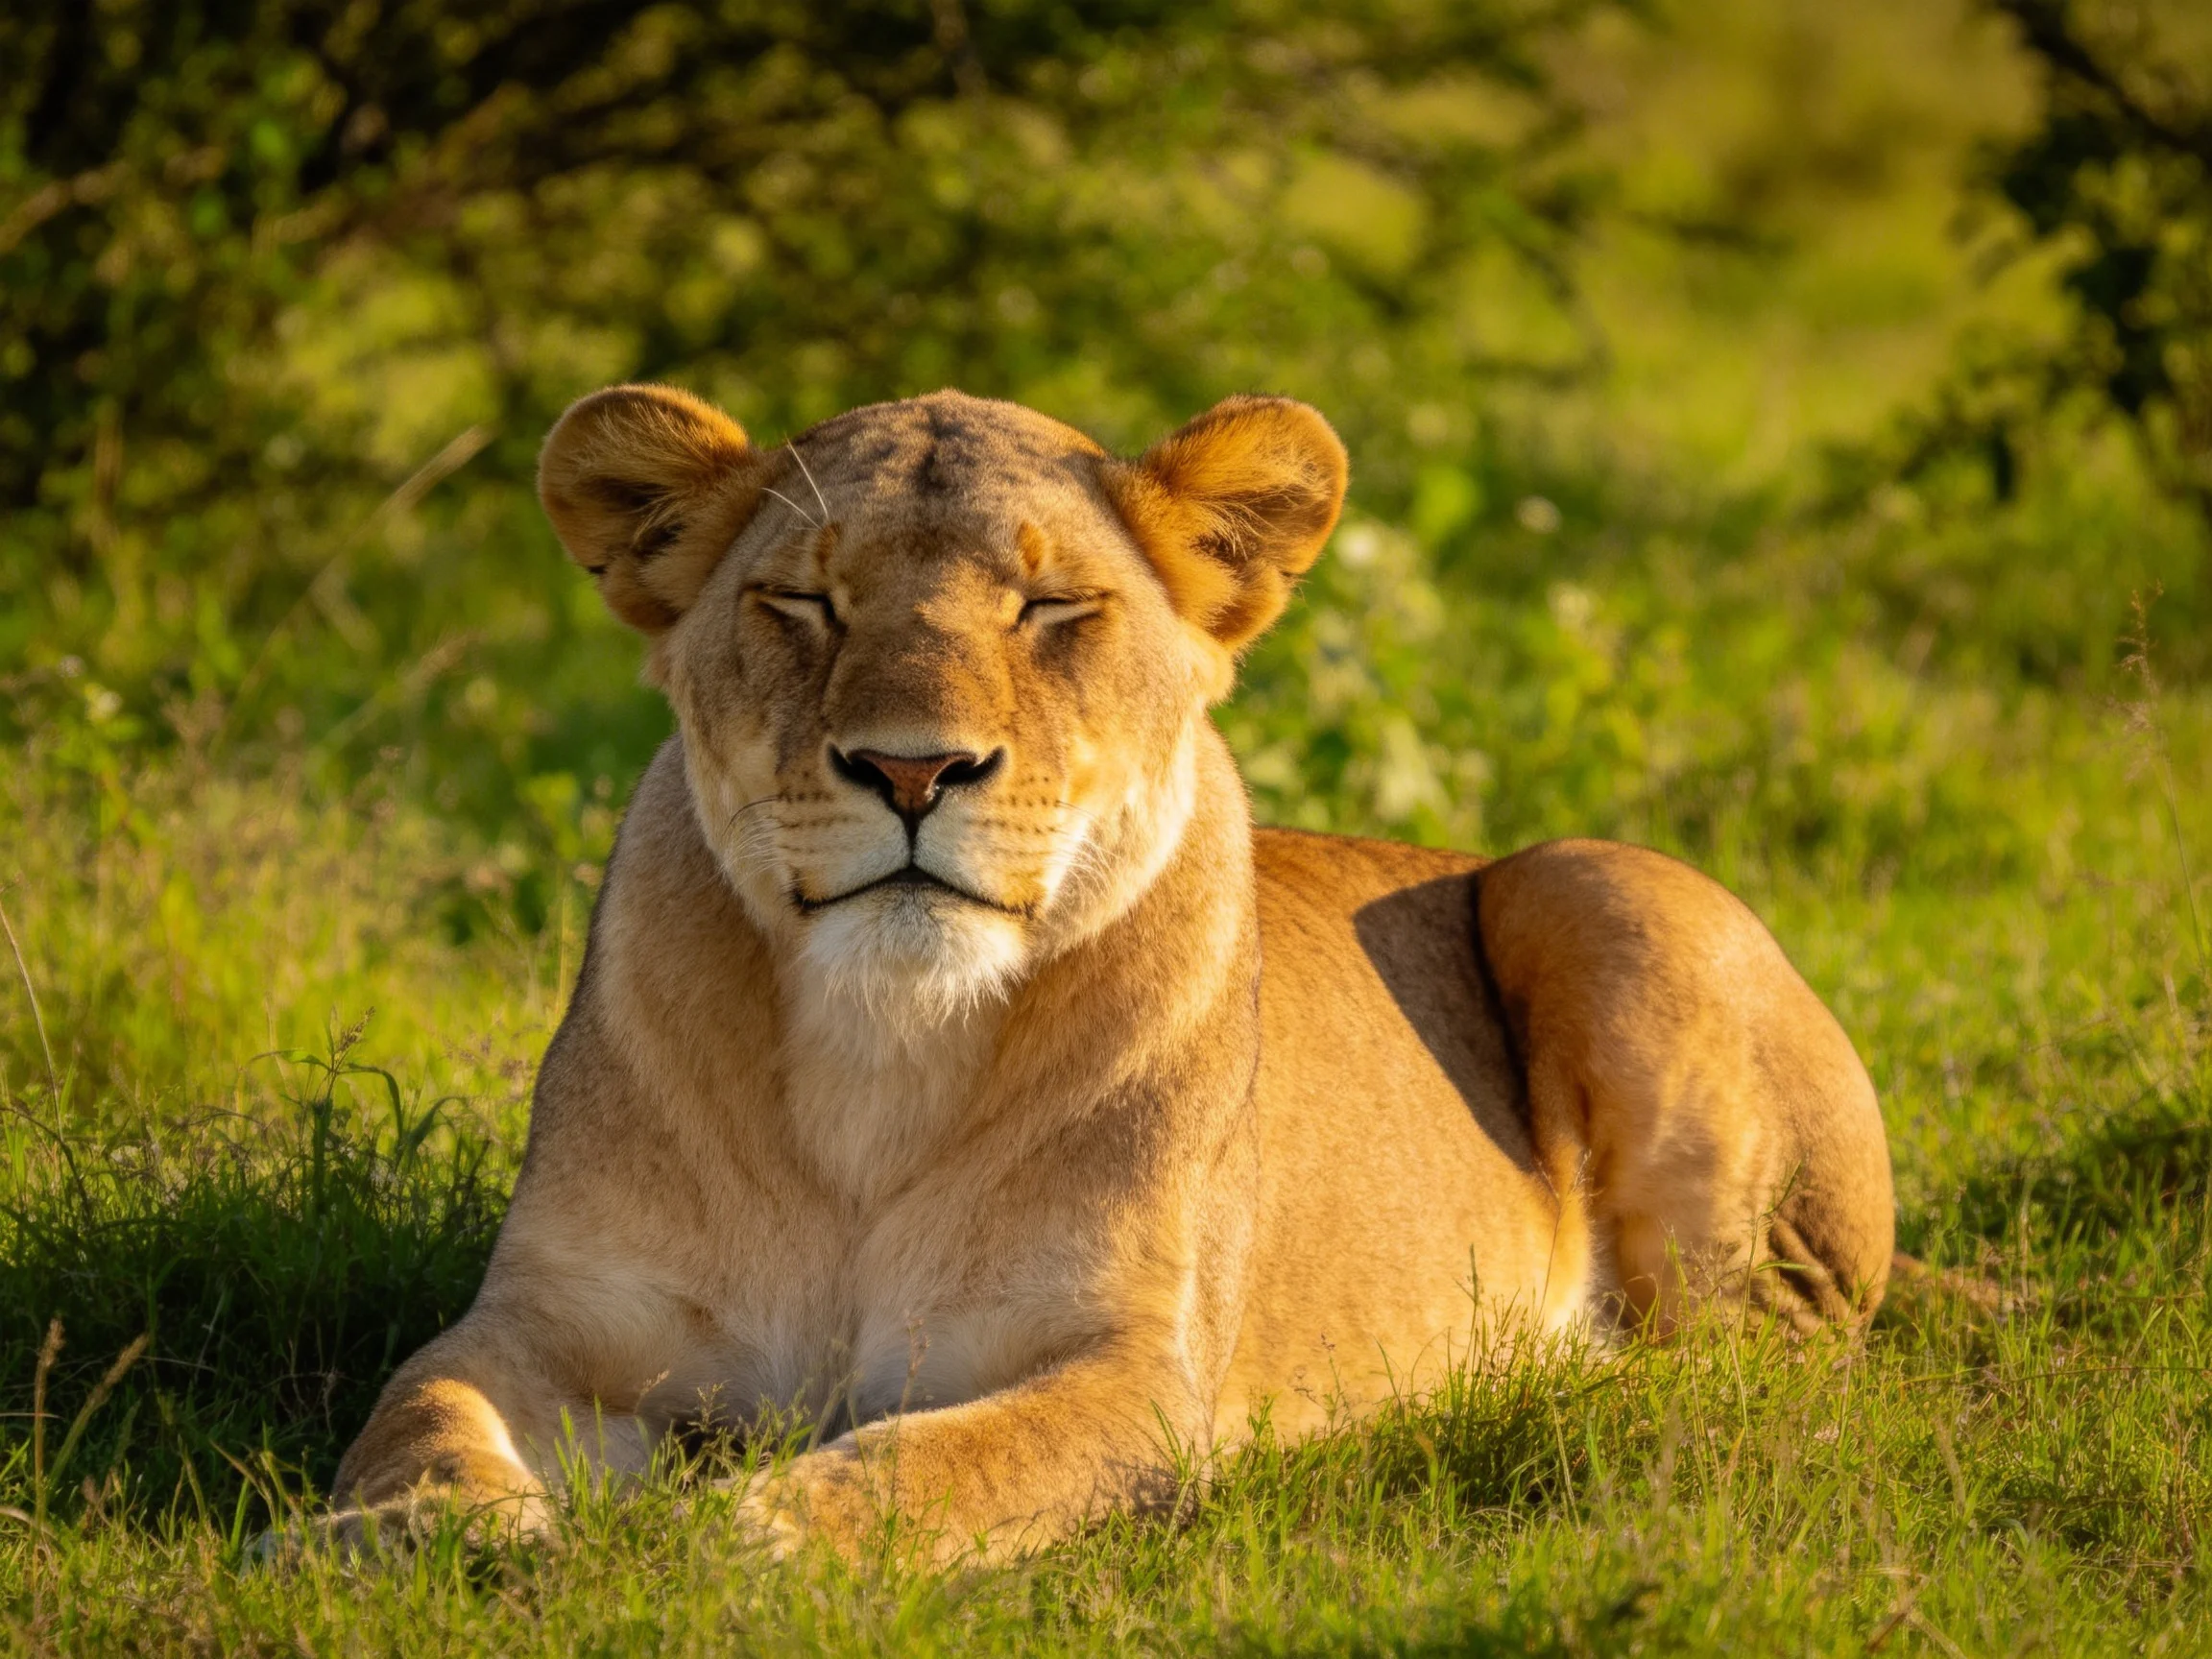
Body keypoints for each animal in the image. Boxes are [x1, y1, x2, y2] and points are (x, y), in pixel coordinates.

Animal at [320, 384, 1893, 1564]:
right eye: (803, 603)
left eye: (1052, 607)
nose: (911, 770)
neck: (879, 1052)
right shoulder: (542, 1320)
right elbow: (417, 1417)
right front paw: (411, 1543)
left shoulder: (1136, 1375)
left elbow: (928, 1467)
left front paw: (738, 1541)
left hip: (1596, 884)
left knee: (1782, 1357)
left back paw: (1529, 1370)